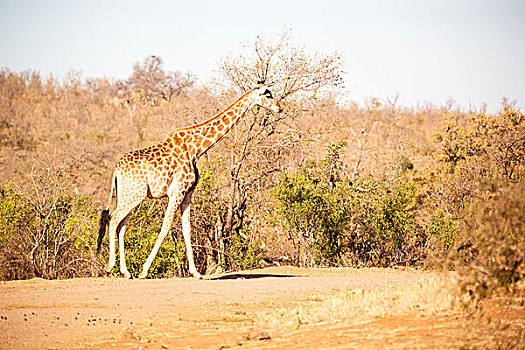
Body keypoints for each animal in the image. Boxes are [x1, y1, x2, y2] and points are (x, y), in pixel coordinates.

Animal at [95, 83, 280, 278]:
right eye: (267, 95)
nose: (279, 108)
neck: (196, 148)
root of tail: (116, 170)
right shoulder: (177, 191)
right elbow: (166, 227)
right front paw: (144, 271)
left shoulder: (188, 192)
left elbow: (187, 229)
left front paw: (196, 272)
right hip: (135, 194)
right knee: (114, 219)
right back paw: (110, 266)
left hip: (127, 194)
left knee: (122, 224)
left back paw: (125, 271)